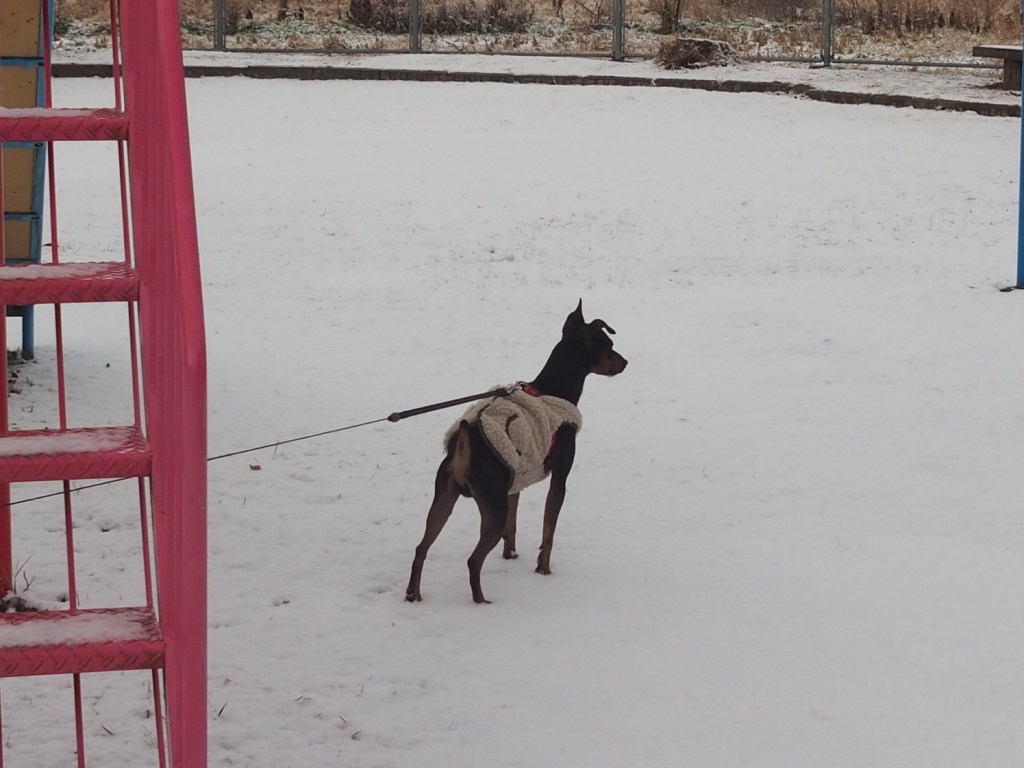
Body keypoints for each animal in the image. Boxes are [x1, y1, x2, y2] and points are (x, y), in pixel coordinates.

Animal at [405, 300, 628, 604]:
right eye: (610, 344)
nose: (625, 362)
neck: (555, 389)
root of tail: (464, 444)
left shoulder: (515, 479)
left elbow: (513, 525)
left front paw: (510, 556)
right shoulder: (559, 479)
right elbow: (548, 533)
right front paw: (543, 571)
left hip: (444, 498)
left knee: (421, 548)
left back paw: (413, 594)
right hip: (491, 507)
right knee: (473, 561)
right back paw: (481, 602)